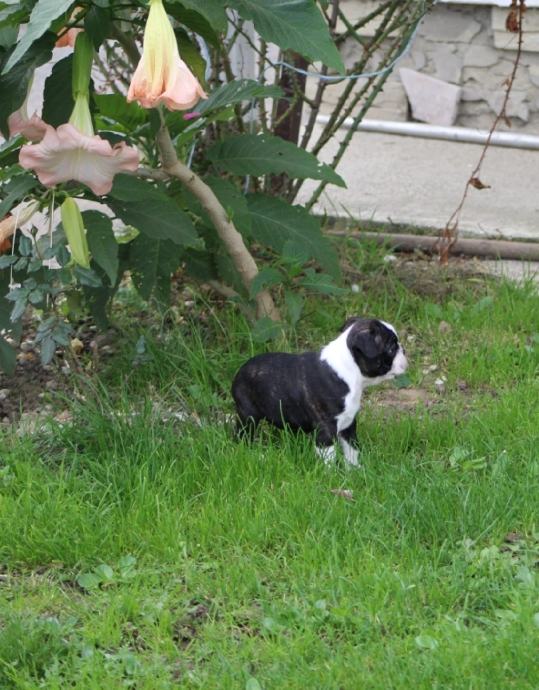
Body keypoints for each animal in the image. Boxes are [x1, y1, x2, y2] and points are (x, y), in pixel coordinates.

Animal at [231, 317, 408, 466]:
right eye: (391, 348)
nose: (404, 350)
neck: (349, 369)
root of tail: (239, 371)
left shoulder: (348, 424)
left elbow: (352, 450)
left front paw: (356, 471)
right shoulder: (326, 430)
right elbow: (329, 458)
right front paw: (333, 476)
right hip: (248, 416)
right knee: (243, 437)